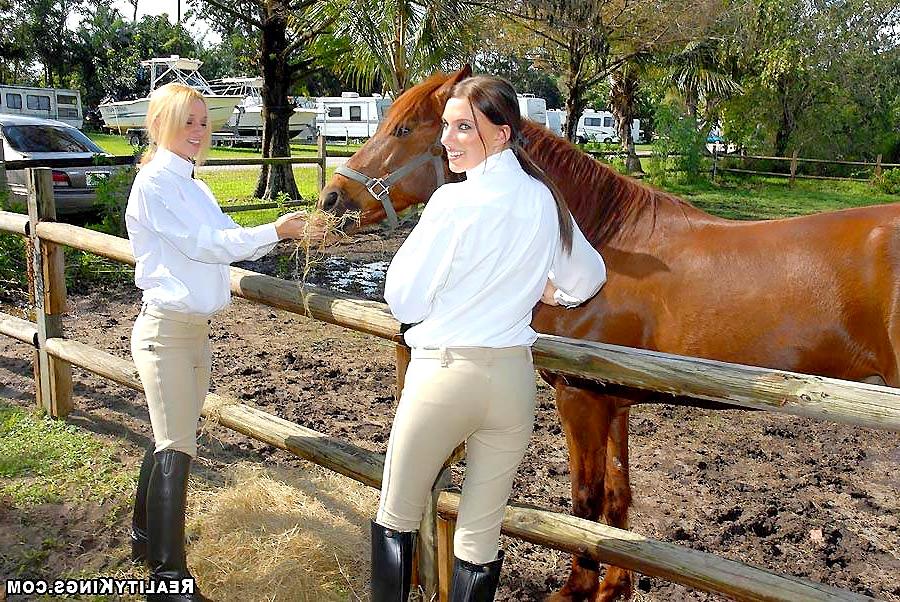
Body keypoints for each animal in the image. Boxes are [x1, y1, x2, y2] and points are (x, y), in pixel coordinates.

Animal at [317, 66, 900, 601]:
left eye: (403, 129)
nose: (332, 198)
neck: (599, 239)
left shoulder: (582, 398)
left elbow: (586, 500)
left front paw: (576, 588)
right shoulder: (615, 401)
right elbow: (618, 500)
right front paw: (614, 586)